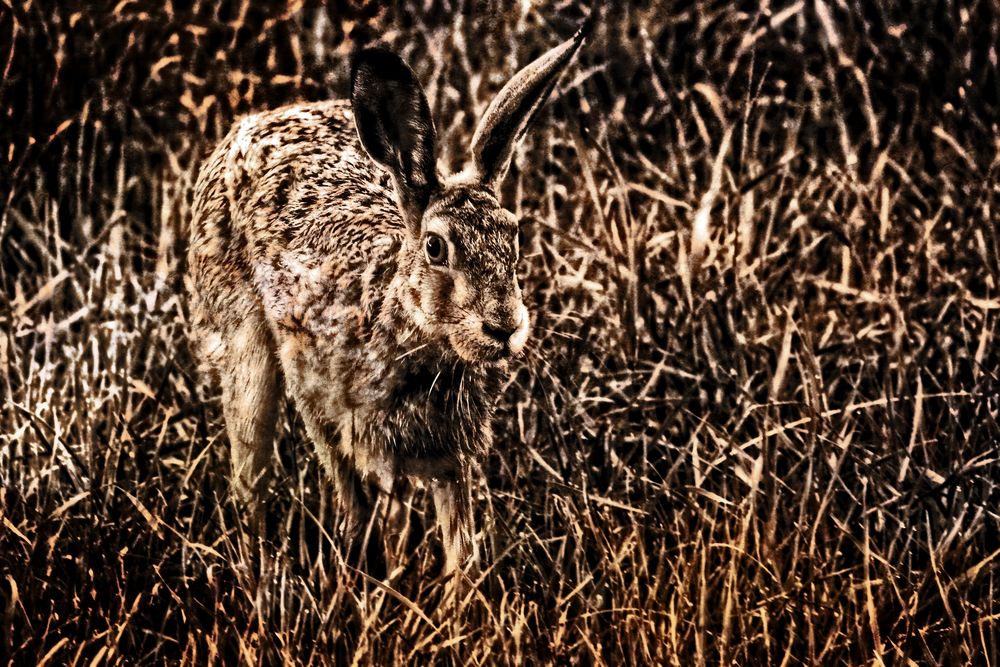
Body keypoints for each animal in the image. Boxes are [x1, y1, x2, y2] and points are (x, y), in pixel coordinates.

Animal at [187, 18, 588, 576]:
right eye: (436, 247)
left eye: (514, 236)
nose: (504, 327)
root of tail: (255, 124)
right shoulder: (329, 410)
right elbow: (356, 500)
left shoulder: (453, 458)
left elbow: (460, 544)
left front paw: (457, 594)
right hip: (246, 342)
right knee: (251, 458)